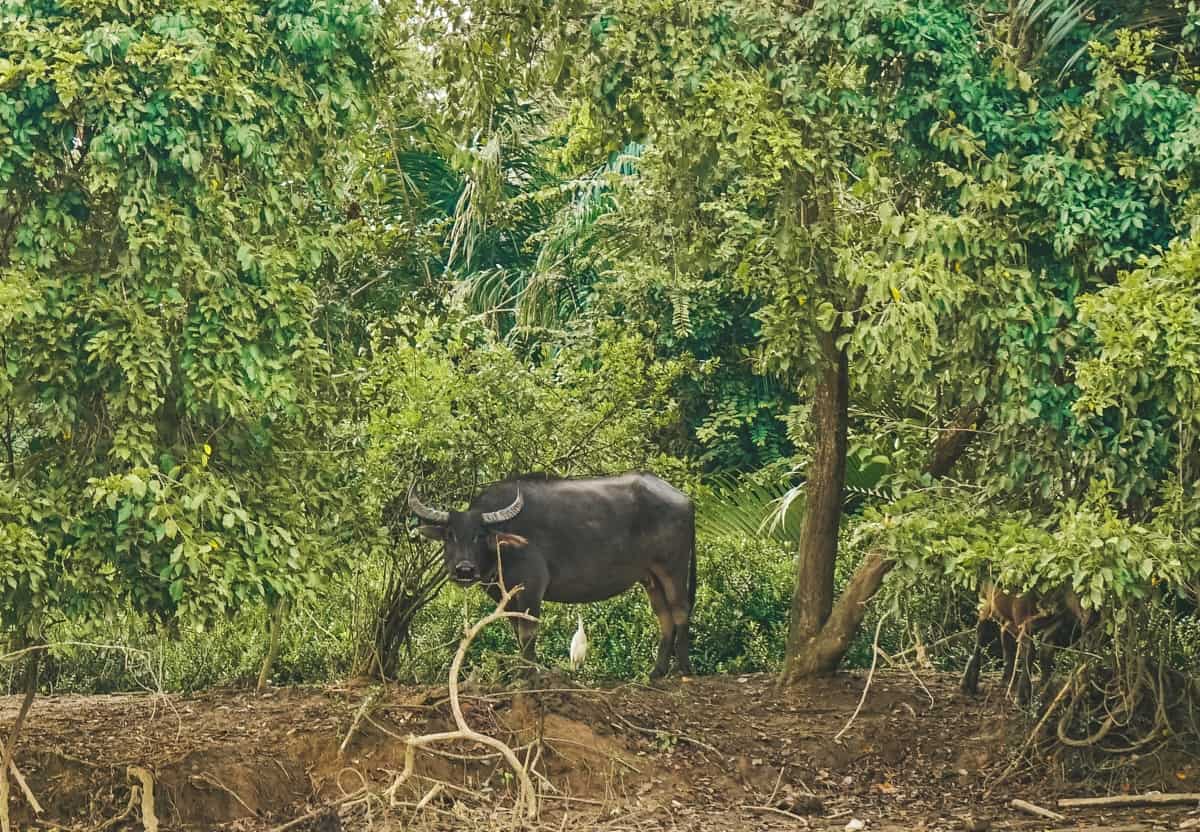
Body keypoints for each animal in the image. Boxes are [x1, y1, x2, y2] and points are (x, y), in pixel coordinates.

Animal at [410, 470, 700, 677]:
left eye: (479, 535)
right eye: (450, 535)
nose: (465, 570)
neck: (505, 542)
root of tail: (685, 499)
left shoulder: (532, 587)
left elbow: (528, 633)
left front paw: (528, 675)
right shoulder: (507, 597)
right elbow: (516, 630)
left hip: (673, 568)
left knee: (680, 610)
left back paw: (683, 669)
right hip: (651, 577)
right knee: (664, 616)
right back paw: (657, 672)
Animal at [960, 581, 1094, 705]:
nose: (1087, 619)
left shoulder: (1055, 622)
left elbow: (1045, 653)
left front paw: (1045, 692)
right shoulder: (1023, 620)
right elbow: (1029, 653)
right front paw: (1022, 698)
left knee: (1005, 639)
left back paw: (1006, 681)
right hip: (988, 604)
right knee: (981, 635)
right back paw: (968, 685)